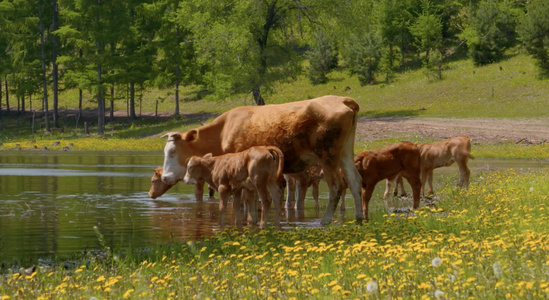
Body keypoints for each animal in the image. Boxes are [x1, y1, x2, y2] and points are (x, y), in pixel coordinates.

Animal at [158, 95, 364, 224]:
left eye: (173, 151)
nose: (165, 177)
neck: (224, 131)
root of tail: (343, 100)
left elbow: (244, 200)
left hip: (328, 155)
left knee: (336, 186)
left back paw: (325, 221)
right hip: (345, 153)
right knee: (355, 182)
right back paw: (360, 217)